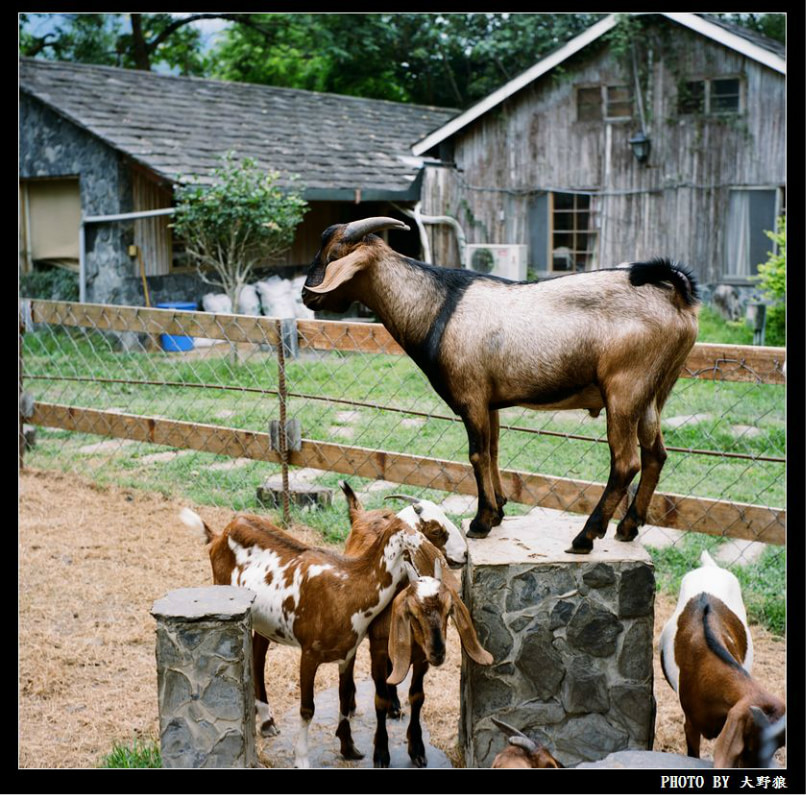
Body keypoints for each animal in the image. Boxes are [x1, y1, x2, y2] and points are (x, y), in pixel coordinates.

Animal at [181, 504, 446, 772]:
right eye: (432, 532)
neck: (348, 588)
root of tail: (218, 535)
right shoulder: (309, 654)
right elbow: (307, 708)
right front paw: (301, 759)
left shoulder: (347, 654)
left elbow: (345, 696)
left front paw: (348, 748)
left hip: (264, 624)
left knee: (257, 654)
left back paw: (266, 721)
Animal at [304, 218, 700, 552]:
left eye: (334, 256)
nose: (308, 295)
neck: (438, 308)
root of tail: (676, 295)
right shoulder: (489, 400)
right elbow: (493, 450)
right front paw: (498, 512)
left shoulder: (470, 395)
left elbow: (477, 454)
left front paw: (480, 522)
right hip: (655, 392)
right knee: (655, 454)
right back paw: (628, 528)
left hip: (625, 388)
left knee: (625, 462)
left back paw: (586, 536)